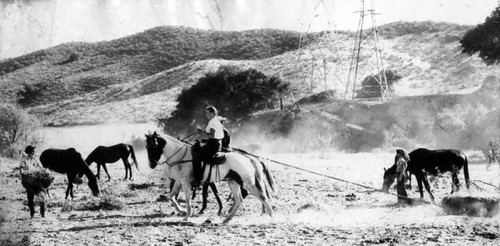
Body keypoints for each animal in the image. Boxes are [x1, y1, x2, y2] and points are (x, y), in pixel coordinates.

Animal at [145, 132, 278, 224]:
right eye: (146, 147)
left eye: (153, 145)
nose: (152, 164)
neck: (180, 156)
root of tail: (248, 158)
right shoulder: (178, 181)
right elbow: (171, 197)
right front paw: (182, 211)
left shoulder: (185, 182)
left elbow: (188, 198)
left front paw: (187, 215)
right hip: (233, 182)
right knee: (239, 199)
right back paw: (227, 218)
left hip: (247, 182)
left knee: (262, 196)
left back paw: (272, 216)